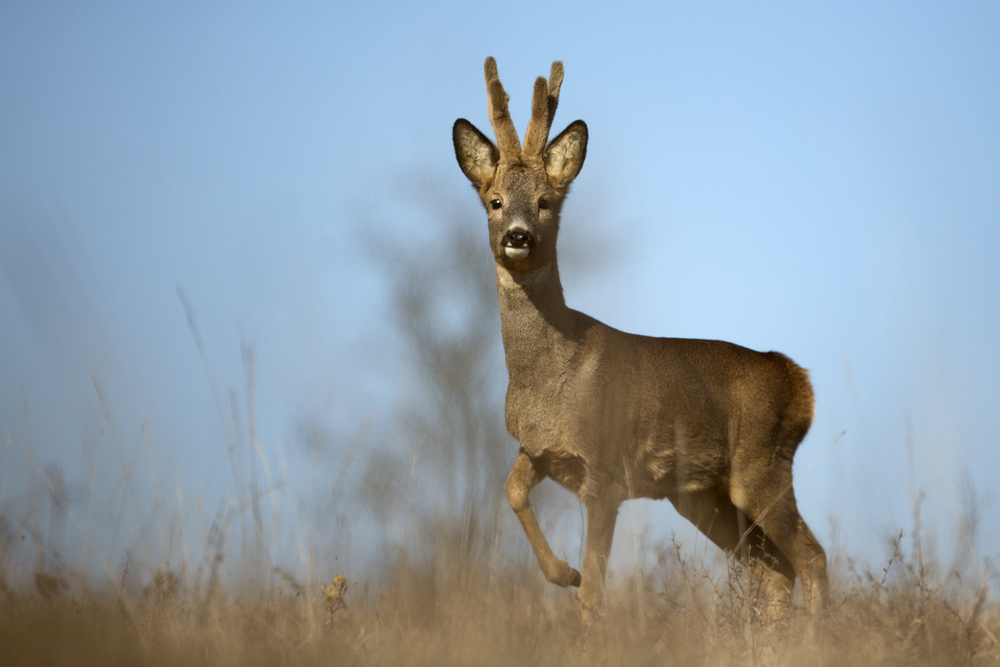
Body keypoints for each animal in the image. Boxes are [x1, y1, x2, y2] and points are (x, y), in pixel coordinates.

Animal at [452, 57, 828, 628]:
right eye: (493, 201)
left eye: (545, 201)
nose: (518, 236)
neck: (551, 376)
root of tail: (796, 377)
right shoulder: (537, 448)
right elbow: (511, 490)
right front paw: (563, 572)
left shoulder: (606, 470)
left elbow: (594, 594)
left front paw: (580, 593)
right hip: (701, 495)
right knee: (775, 569)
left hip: (761, 465)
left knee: (811, 557)